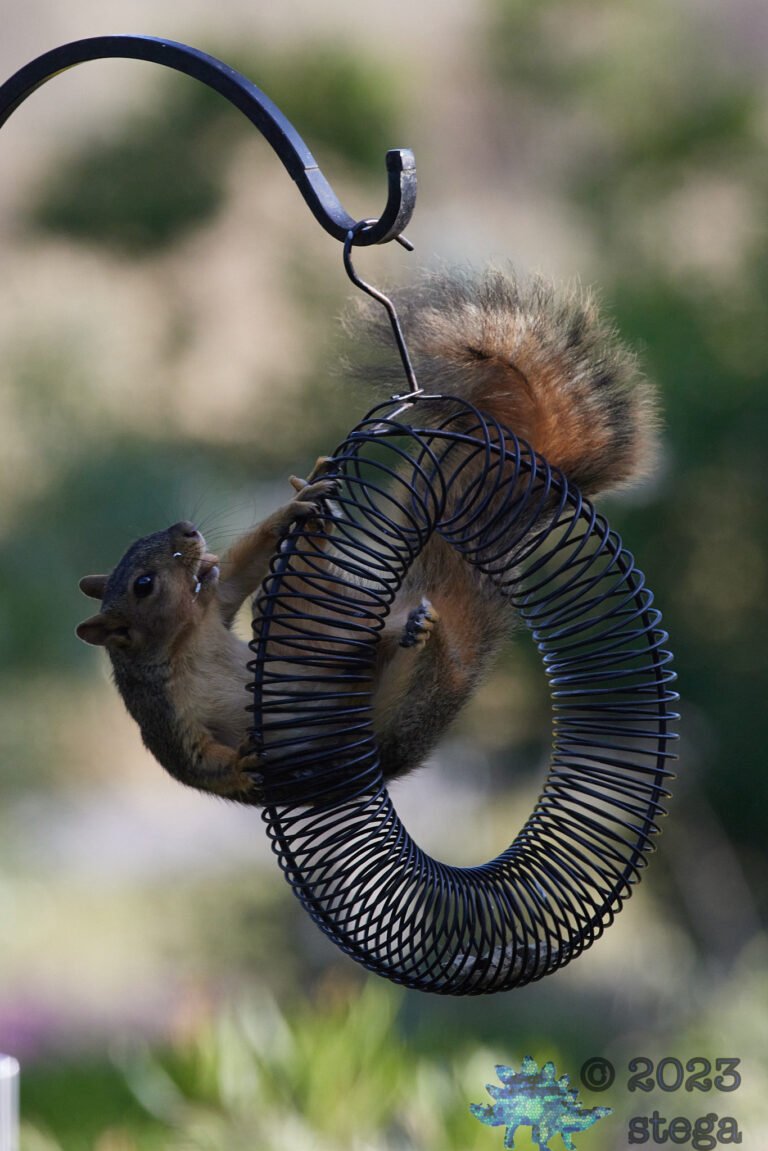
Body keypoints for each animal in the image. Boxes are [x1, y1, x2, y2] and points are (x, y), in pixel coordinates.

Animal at [77, 265, 659, 805]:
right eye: (144, 585)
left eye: (153, 547)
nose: (189, 530)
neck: (186, 640)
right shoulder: (165, 714)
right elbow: (200, 764)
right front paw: (244, 767)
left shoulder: (214, 606)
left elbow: (240, 571)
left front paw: (293, 507)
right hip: (388, 717)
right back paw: (417, 633)